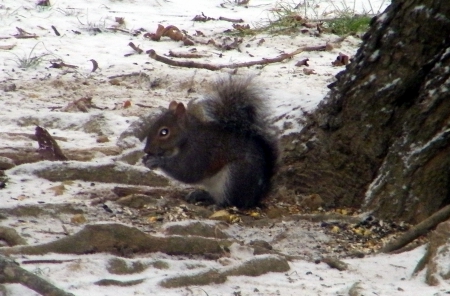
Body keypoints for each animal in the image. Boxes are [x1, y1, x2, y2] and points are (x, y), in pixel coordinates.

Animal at [143, 77, 278, 208]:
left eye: (164, 132)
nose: (146, 150)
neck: (188, 137)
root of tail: (256, 196)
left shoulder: (198, 152)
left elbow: (185, 171)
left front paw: (157, 161)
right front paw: (146, 159)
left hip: (235, 176)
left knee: (233, 201)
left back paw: (218, 205)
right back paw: (201, 195)